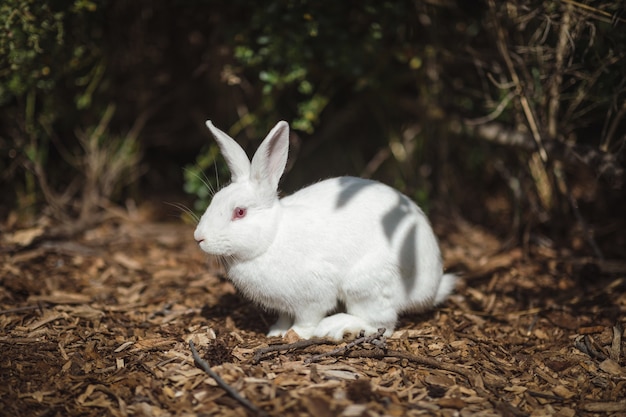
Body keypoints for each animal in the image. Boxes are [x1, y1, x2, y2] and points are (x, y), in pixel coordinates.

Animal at [193, 119, 450, 338]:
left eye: (240, 212)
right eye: (215, 200)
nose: (199, 238)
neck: (272, 238)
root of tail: (431, 287)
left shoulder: (313, 296)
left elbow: (307, 319)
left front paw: (295, 334)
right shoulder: (284, 305)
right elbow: (284, 317)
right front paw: (276, 332)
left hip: (366, 286)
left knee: (382, 325)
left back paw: (335, 327)